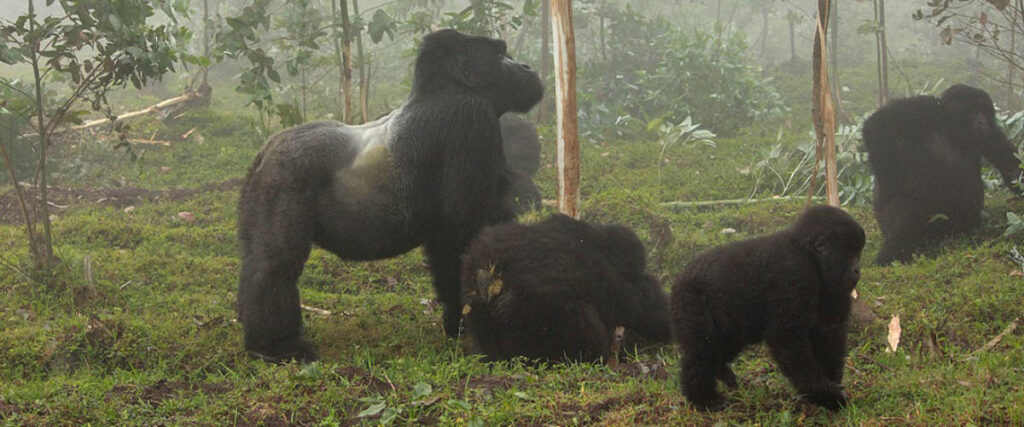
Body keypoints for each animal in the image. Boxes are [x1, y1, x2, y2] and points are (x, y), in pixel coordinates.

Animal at [237, 29, 544, 360]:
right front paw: (463, 323)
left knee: (258, 260)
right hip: (283, 177)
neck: (445, 87)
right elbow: (458, 234)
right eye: (500, 55)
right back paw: (275, 344)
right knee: (275, 267)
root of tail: (266, 150)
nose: (526, 66)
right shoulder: (469, 117)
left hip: (260, 187)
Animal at [671, 206, 864, 409]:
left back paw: (719, 372)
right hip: (688, 299)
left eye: (857, 254)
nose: (857, 270)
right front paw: (823, 391)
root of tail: (678, 280)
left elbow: (829, 330)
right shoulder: (794, 271)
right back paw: (703, 398)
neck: (807, 253)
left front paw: (828, 387)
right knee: (701, 350)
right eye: (851, 255)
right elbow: (787, 338)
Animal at [864, 83, 1024, 264]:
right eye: (973, 109)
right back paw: (888, 256)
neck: (951, 127)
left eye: (983, 109)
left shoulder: (991, 132)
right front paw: (890, 186)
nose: (982, 121)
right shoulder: (924, 109)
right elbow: (878, 125)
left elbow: (1011, 165)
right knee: (908, 211)